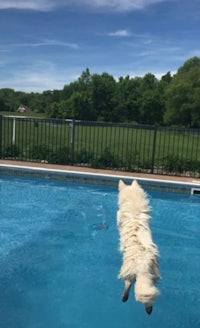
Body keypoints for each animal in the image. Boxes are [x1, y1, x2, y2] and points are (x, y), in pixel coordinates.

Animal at [117, 179, 161, 316]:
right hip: (152, 275)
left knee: (128, 284)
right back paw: (149, 309)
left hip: (128, 270)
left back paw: (124, 297)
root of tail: (143, 264)